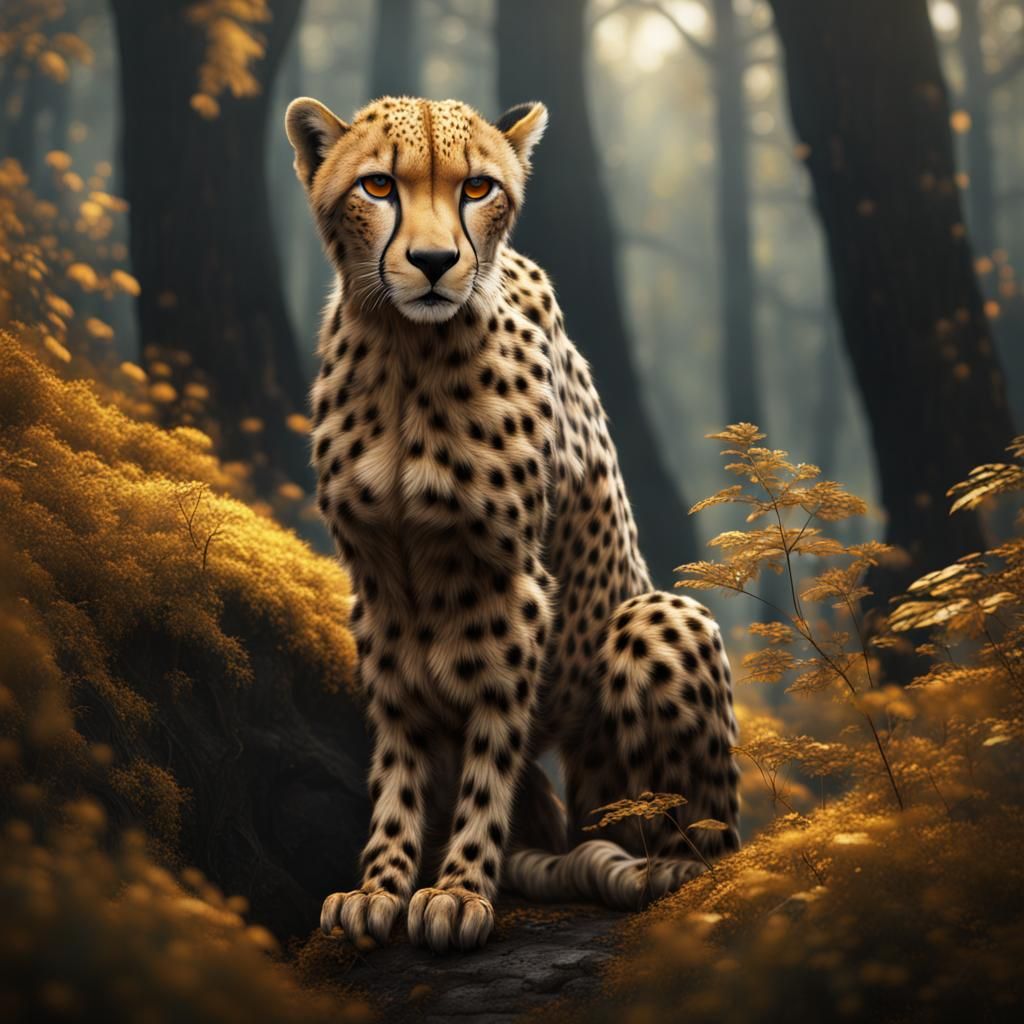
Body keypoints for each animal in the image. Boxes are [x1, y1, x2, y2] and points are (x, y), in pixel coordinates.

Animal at [284, 94, 740, 954]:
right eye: (378, 185)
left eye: (477, 189)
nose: (433, 262)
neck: (407, 351)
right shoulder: (377, 594)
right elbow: (398, 751)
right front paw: (381, 884)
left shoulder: (512, 588)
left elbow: (491, 748)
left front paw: (460, 889)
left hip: (657, 619)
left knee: (713, 837)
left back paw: (666, 868)